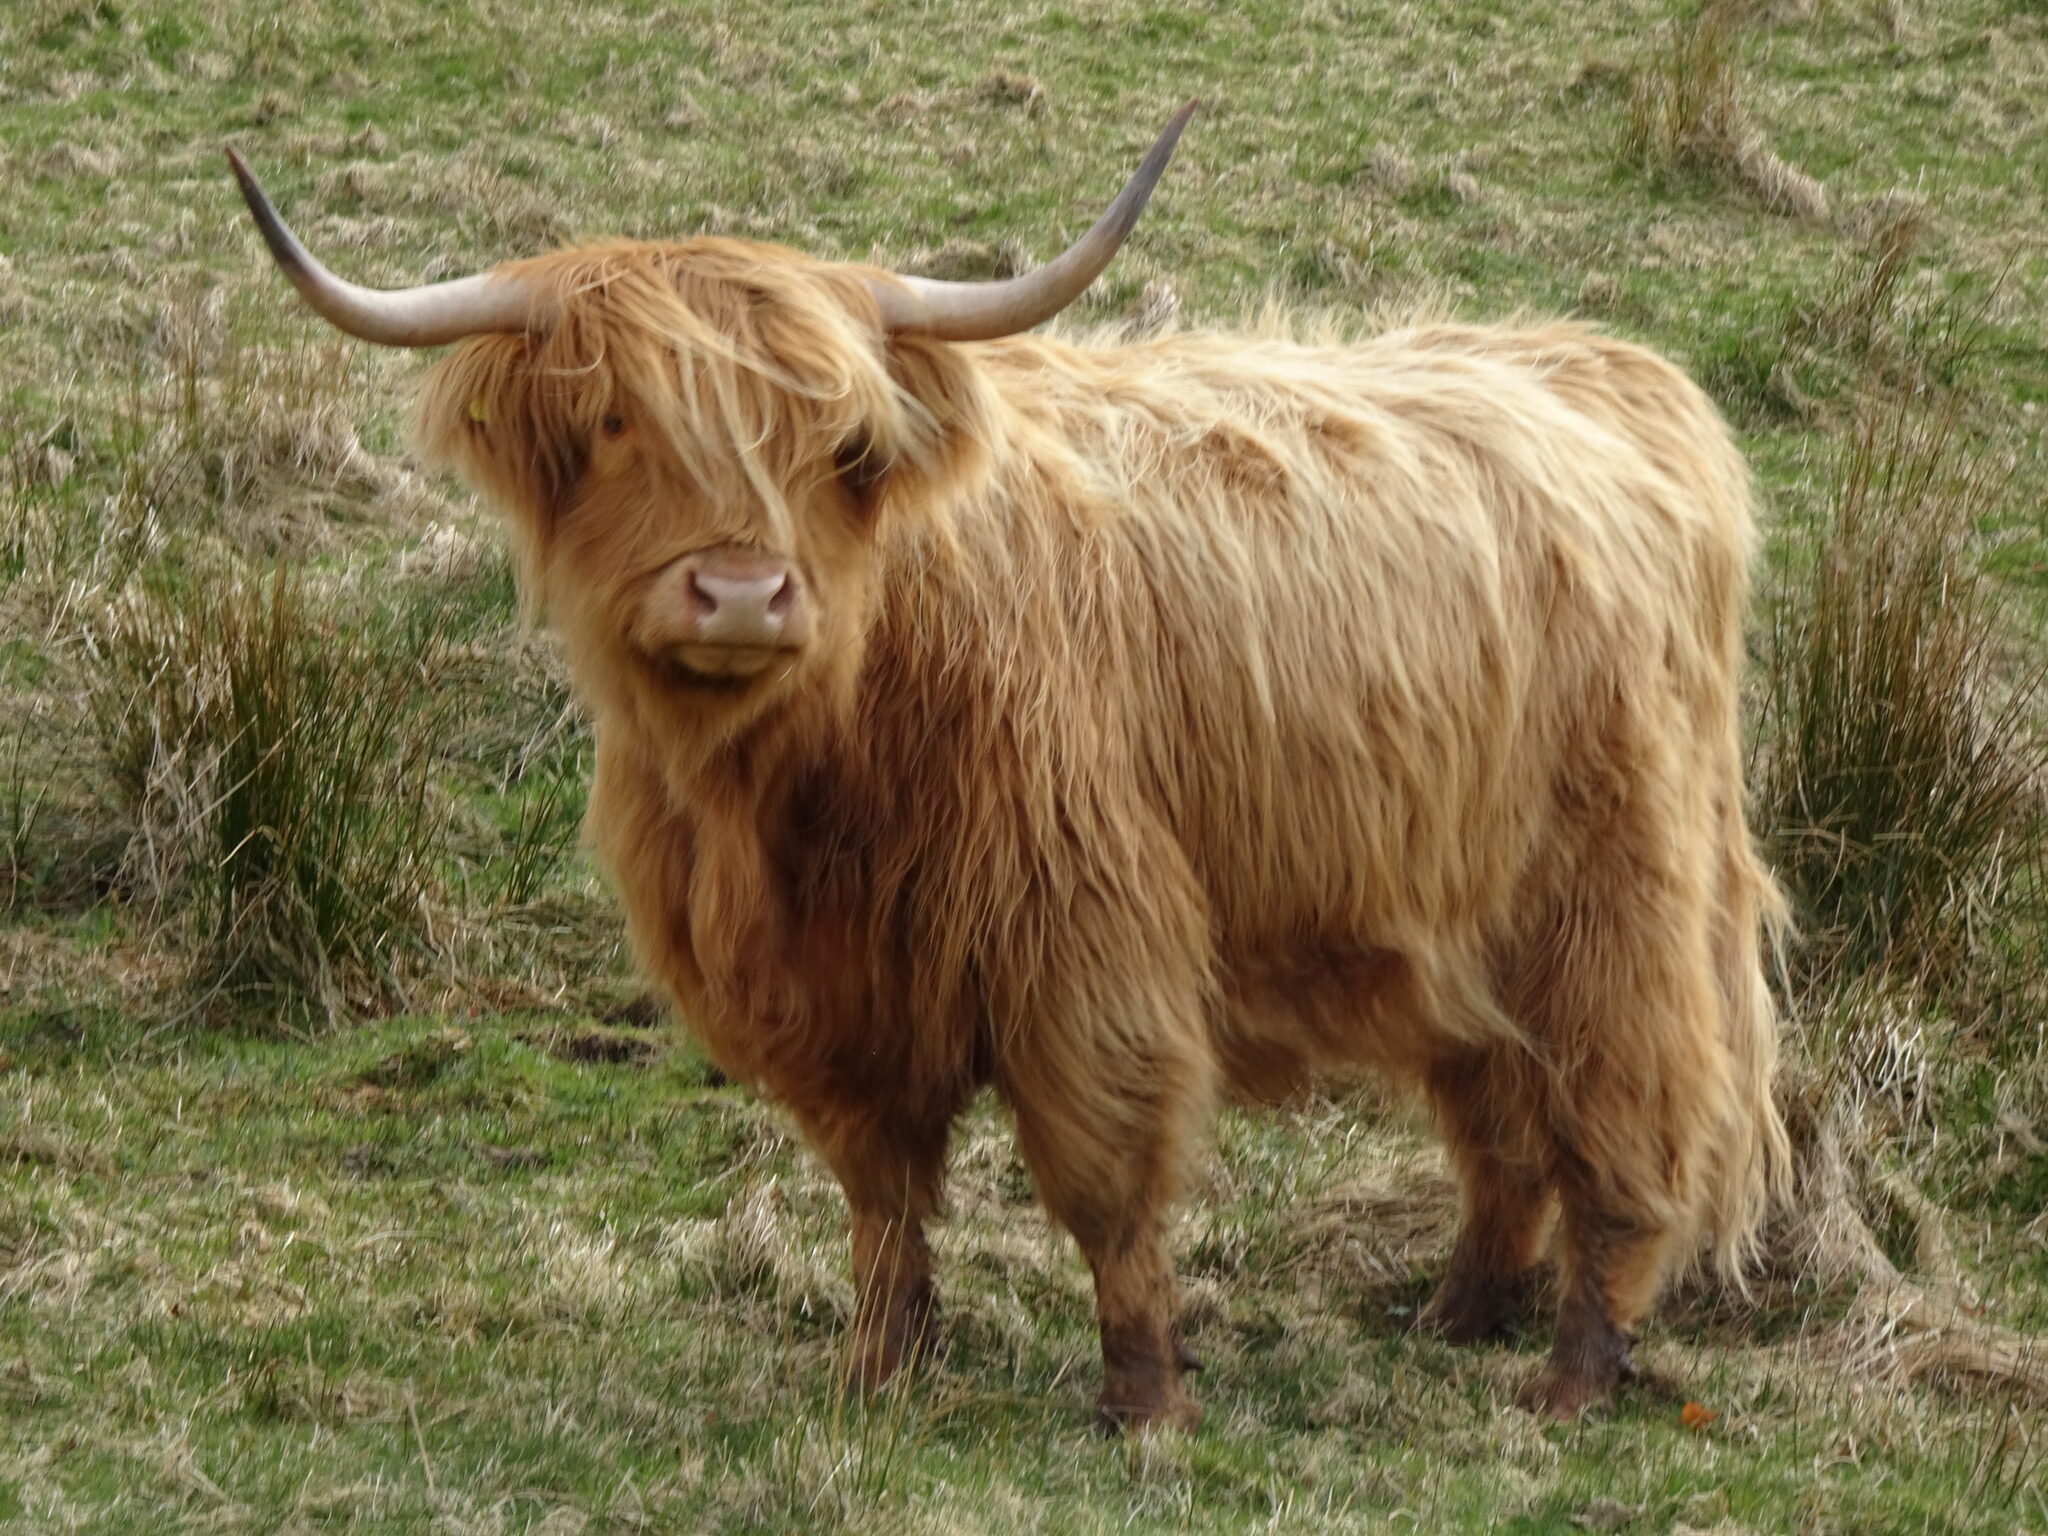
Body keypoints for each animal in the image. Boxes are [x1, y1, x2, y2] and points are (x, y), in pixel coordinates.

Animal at [229, 103, 1790, 1431]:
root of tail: (1607, 371)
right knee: (1494, 1113)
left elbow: (1107, 1183)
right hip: (1452, 902)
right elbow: (879, 1191)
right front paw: (879, 1370)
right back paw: (1459, 1311)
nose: (741, 595)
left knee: (1623, 1115)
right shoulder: (833, 992)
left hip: (1615, 890)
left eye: (838, 440)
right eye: (617, 420)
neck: (806, 780)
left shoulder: (1086, 948)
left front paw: (1143, 1402)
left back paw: (1571, 1372)